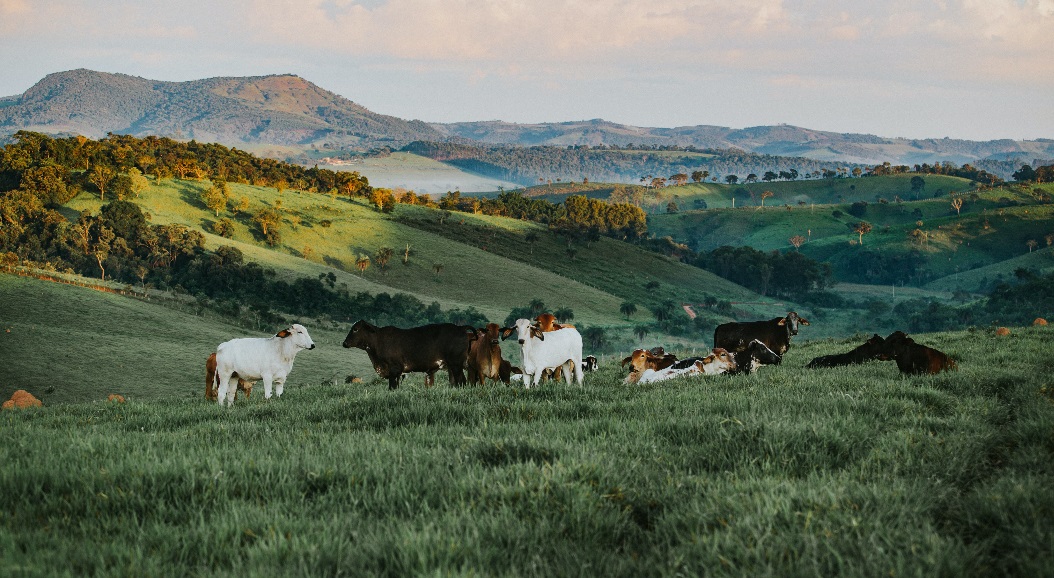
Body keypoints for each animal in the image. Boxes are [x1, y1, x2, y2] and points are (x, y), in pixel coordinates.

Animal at [341, 318, 474, 390]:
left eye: (355, 329)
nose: (345, 343)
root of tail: (460, 328)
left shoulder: (394, 369)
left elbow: (392, 386)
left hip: (456, 364)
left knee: (461, 381)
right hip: (452, 366)